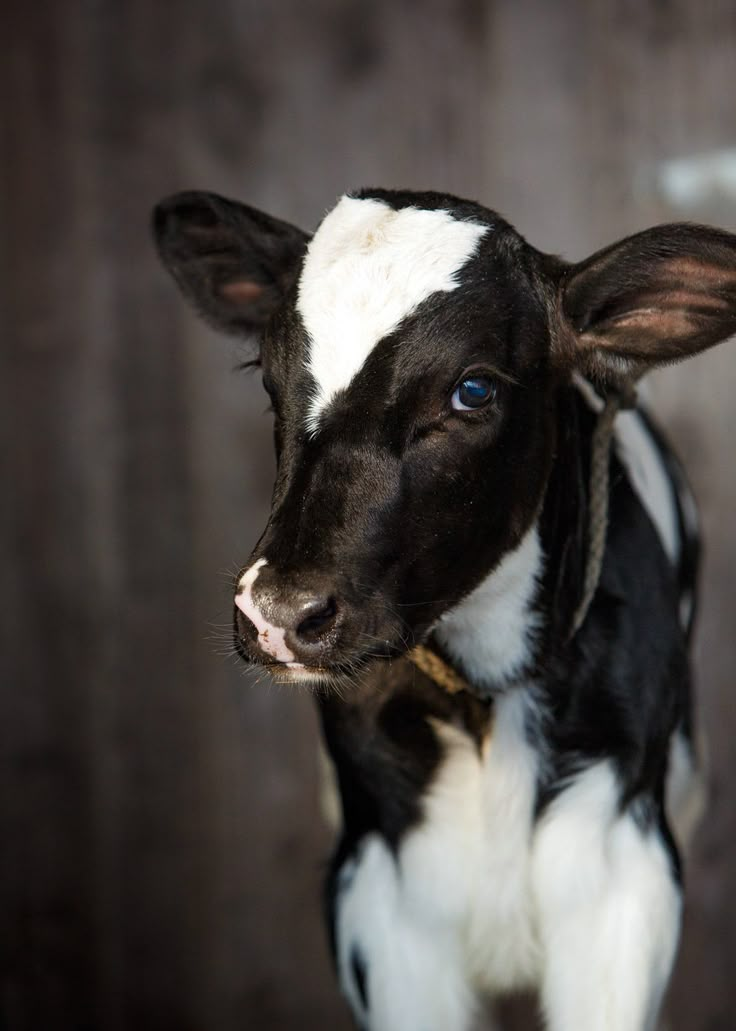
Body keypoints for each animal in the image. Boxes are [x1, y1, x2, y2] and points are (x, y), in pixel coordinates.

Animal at [150, 187, 733, 1031]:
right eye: (266, 376)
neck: (486, 702)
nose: (280, 611)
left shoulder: (623, 874)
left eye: (474, 389)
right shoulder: (377, 894)